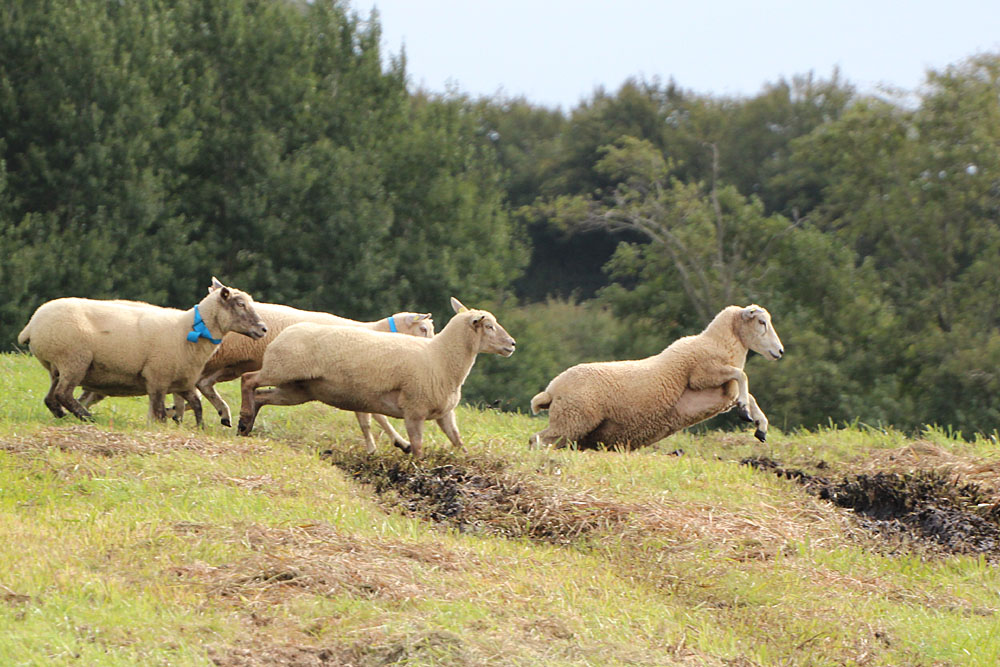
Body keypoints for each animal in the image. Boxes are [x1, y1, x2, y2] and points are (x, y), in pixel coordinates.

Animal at [17, 278, 268, 426]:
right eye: (241, 304)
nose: (263, 328)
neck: (188, 329)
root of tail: (32, 323)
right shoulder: (157, 377)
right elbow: (159, 410)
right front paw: (163, 427)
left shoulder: (183, 379)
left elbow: (196, 405)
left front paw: (199, 428)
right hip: (74, 360)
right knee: (63, 394)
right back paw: (87, 417)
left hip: (57, 366)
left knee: (51, 397)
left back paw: (63, 416)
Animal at [235, 298, 516, 460]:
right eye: (489, 326)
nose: (512, 344)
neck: (440, 357)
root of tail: (285, 332)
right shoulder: (414, 411)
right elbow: (417, 448)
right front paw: (414, 468)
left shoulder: (444, 414)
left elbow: (458, 442)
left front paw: (466, 462)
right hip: (281, 369)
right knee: (248, 380)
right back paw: (243, 418)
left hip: (297, 389)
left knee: (261, 395)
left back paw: (246, 426)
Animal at [528, 306, 784, 452]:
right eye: (761, 322)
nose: (780, 351)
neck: (717, 343)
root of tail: (551, 390)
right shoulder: (702, 374)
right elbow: (742, 376)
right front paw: (745, 411)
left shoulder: (721, 392)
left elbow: (748, 392)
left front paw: (760, 426)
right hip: (573, 419)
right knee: (536, 440)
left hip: (572, 426)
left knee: (542, 441)